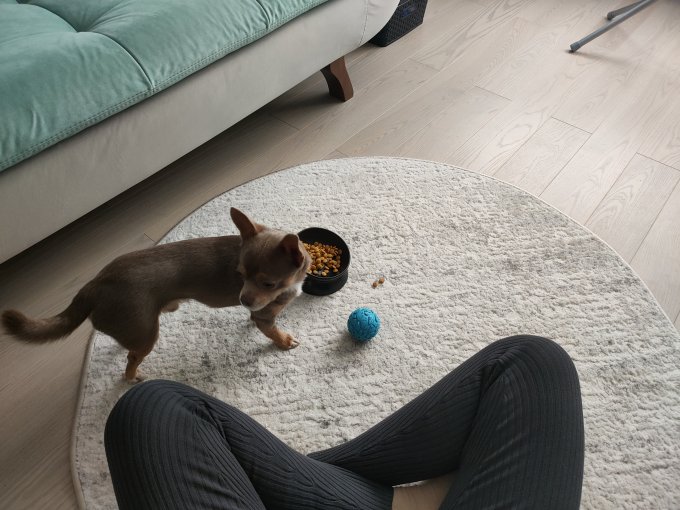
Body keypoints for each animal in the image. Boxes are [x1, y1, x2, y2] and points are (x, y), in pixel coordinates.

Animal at [1, 208, 311, 382]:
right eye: (240, 274)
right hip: (147, 334)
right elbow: (271, 330)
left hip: (139, 326)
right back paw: (132, 378)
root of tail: (95, 283)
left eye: (267, 283)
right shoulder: (265, 316)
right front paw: (284, 341)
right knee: (132, 359)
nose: (243, 300)